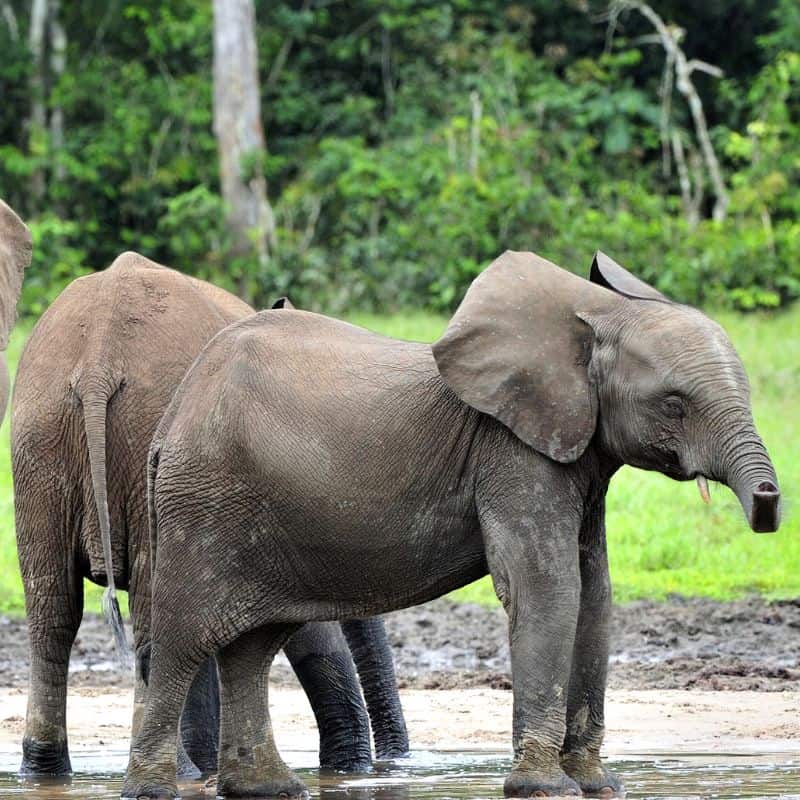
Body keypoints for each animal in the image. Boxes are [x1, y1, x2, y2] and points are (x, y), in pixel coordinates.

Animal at [13, 253, 410, 780]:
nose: (394, 761)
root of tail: (98, 362)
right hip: (134, 433)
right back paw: (175, 770)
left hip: (39, 437)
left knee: (53, 611)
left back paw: (47, 770)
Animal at [125, 250, 780, 800]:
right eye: (674, 404)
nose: (769, 500)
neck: (593, 318)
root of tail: (172, 419)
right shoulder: (513, 452)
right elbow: (548, 589)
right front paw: (545, 789)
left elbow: (595, 596)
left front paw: (600, 787)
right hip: (201, 506)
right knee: (183, 641)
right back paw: (154, 792)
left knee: (253, 647)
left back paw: (269, 789)